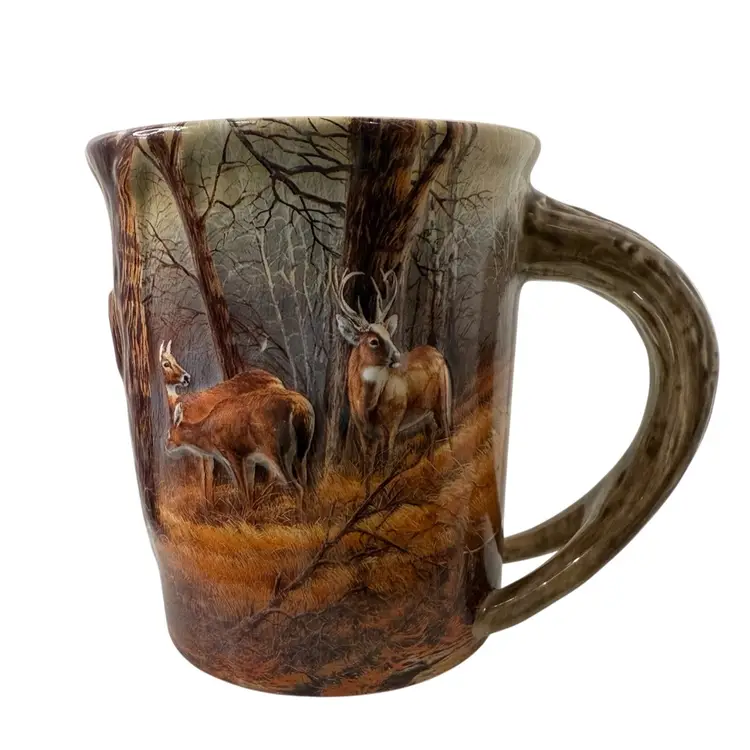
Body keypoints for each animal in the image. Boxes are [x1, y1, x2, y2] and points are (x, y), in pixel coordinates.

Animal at [158, 339, 314, 500]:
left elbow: (209, 475)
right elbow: (207, 476)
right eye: (166, 363)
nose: (186, 378)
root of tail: (277, 380)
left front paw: (210, 504)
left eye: (173, 360)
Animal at [334, 269, 453, 475]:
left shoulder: (393, 421)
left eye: (389, 335)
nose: (397, 355)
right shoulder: (364, 431)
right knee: (431, 433)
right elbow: (368, 467)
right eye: (373, 341)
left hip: (444, 398)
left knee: (446, 430)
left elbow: (387, 463)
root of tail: (436, 352)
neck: (367, 405)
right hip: (426, 412)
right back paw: (430, 467)